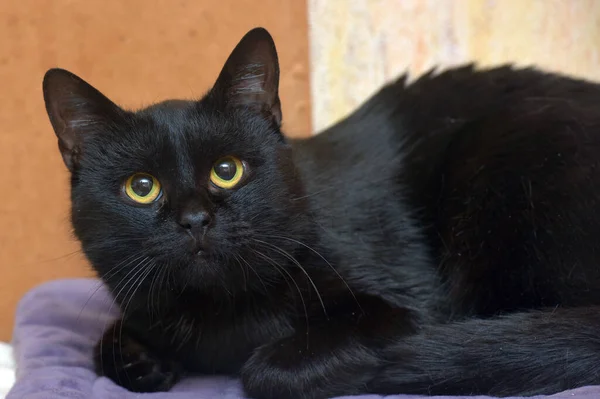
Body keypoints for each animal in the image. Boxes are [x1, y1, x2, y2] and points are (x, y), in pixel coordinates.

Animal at [43, 26, 600, 398]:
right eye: (141, 188)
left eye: (228, 170)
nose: (195, 220)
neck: (217, 314)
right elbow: (104, 345)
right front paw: (145, 362)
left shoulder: (407, 303)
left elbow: (266, 371)